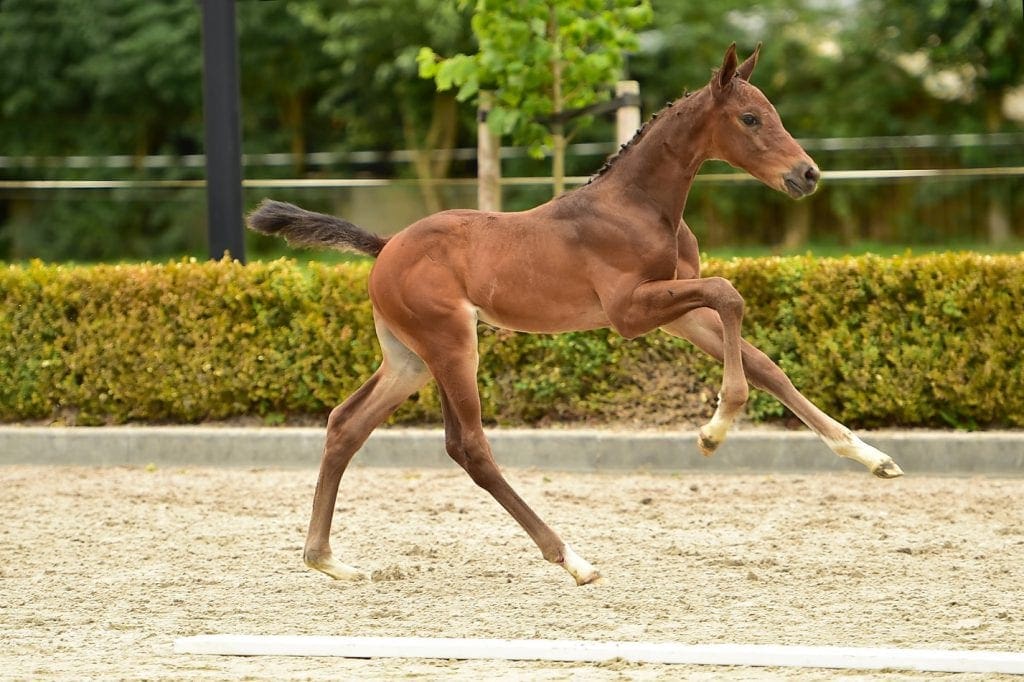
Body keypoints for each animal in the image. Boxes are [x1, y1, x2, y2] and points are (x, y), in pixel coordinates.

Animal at [248, 43, 904, 586]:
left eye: (772, 112)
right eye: (750, 119)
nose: (807, 174)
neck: (636, 206)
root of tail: (385, 247)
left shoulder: (676, 311)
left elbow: (764, 361)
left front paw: (870, 457)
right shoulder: (630, 312)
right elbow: (729, 292)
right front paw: (713, 431)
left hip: (408, 358)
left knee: (346, 424)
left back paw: (326, 559)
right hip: (451, 343)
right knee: (469, 446)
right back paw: (572, 558)